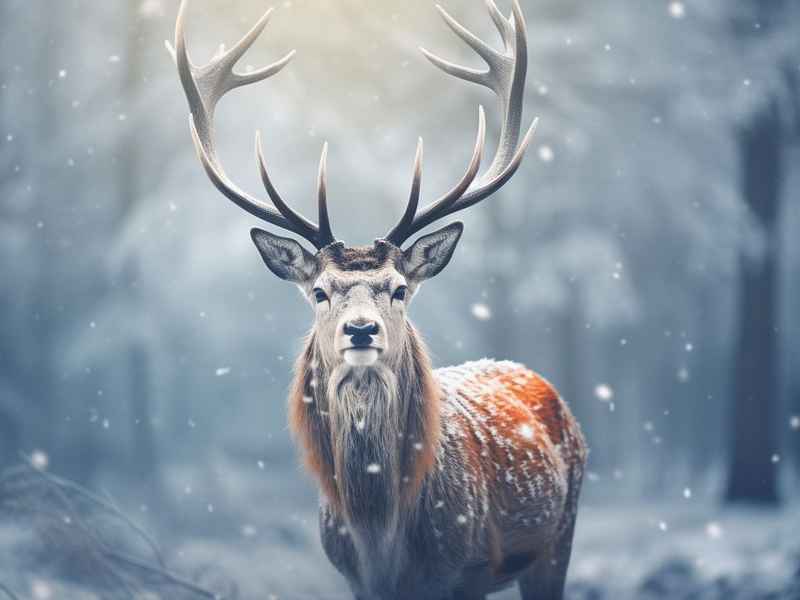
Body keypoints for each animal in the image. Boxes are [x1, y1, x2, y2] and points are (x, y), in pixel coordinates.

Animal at [168, 1, 586, 598]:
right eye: (319, 291)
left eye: (400, 288)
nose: (362, 329)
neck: (380, 539)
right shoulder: (353, 577)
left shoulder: (459, 574)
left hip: (559, 536)